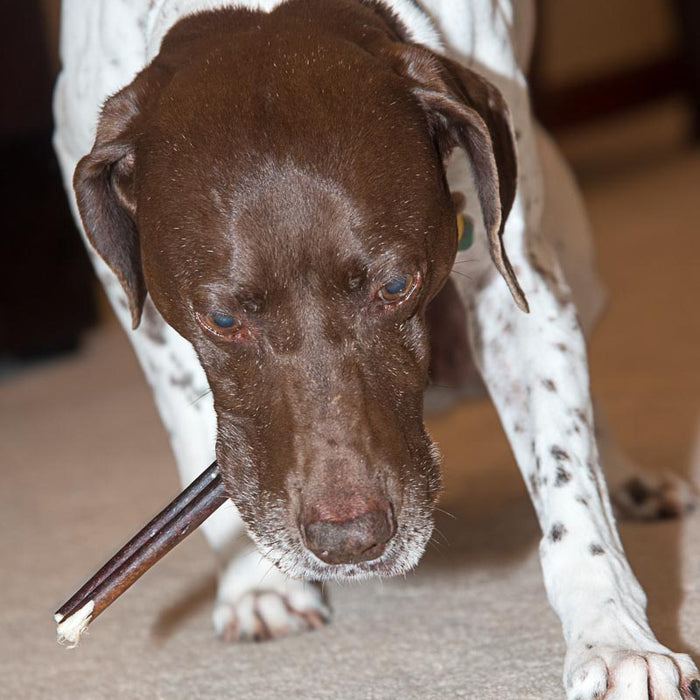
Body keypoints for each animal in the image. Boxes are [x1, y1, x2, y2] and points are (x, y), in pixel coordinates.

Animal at [54, 1, 700, 700]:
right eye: (222, 319)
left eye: (395, 287)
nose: (350, 542)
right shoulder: (129, 291)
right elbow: (194, 417)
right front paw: (254, 584)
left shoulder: (518, 278)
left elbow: (568, 476)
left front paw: (613, 634)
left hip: (570, 249)